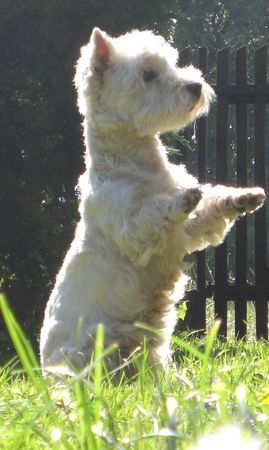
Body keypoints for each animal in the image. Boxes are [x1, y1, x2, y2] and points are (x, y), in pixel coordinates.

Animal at [39, 26, 264, 374]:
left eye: (171, 64)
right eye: (148, 74)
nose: (195, 85)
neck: (136, 164)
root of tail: (43, 369)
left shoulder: (188, 231)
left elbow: (211, 205)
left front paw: (244, 196)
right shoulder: (131, 231)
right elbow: (152, 214)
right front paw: (182, 198)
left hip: (147, 349)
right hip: (86, 350)